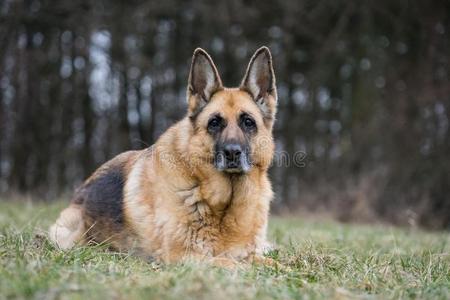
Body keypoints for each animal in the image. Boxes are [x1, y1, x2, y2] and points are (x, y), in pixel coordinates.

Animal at [51, 46, 278, 264]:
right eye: (214, 123)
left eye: (248, 122)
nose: (232, 152)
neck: (223, 204)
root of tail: (80, 192)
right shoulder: (185, 255)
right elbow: (236, 266)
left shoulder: (248, 254)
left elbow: (273, 264)